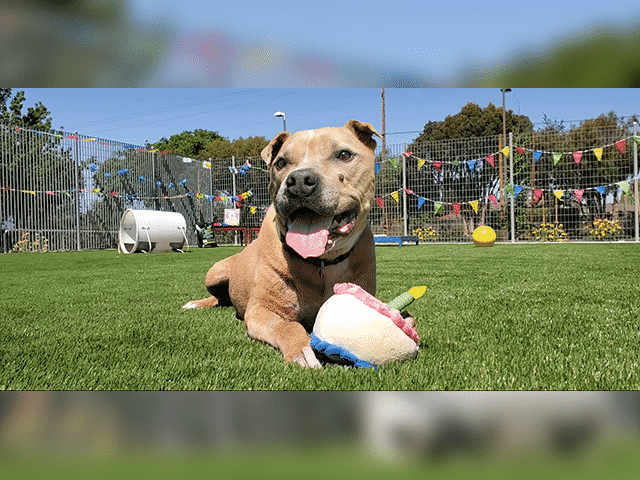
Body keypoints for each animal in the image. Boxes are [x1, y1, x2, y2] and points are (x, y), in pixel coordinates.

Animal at [180, 120, 380, 368]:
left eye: (344, 155)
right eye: (281, 163)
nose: (299, 182)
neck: (322, 263)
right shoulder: (260, 310)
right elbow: (286, 325)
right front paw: (302, 350)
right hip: (215, 271)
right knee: (218, 297)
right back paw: (197, 303)